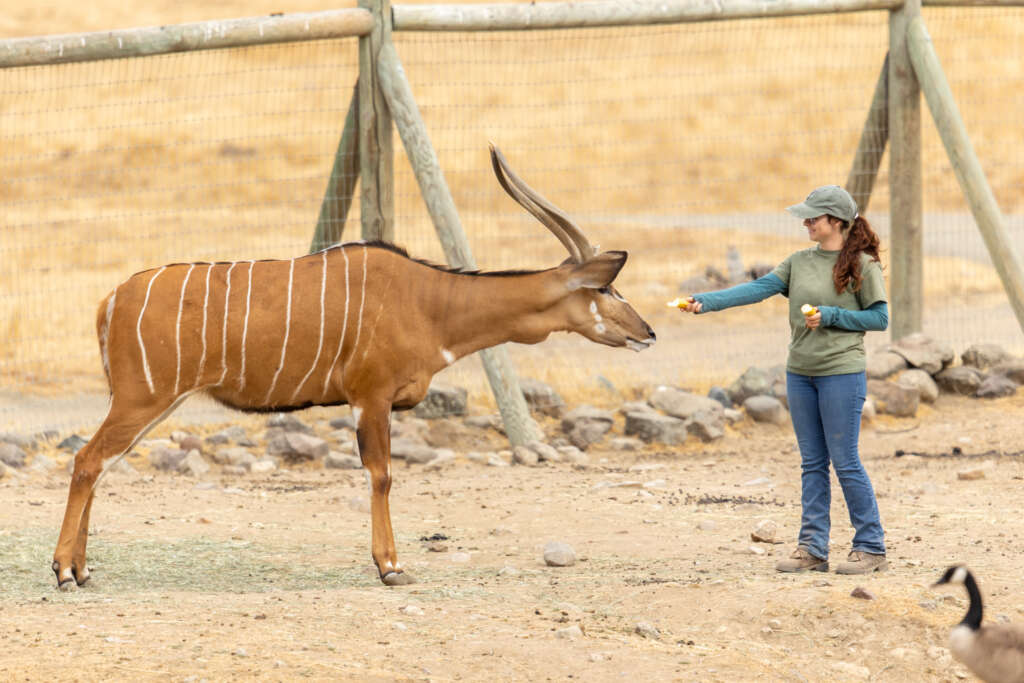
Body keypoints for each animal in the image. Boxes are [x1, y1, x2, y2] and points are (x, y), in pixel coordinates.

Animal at [52, 145, 656, 589]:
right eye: (606, 288)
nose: (647, 332)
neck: (429, 300)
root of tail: (110, 300)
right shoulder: (372, 396)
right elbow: (381, 475)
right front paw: (391, 567)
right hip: (143, 398)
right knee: (87, 459)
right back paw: (62, 571)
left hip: (149, 402)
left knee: (100, 464)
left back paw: (82, 569)